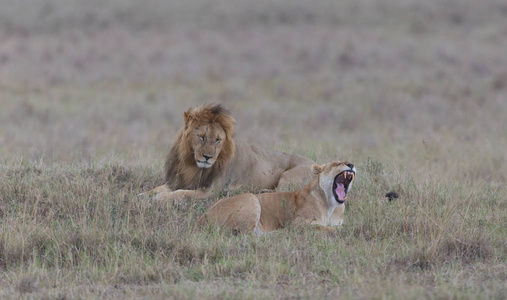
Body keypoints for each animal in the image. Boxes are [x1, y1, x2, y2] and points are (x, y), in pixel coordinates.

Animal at [145, 103, 316, 202]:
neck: (191, 164)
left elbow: (182, 193)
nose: (207, 157)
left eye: (218, 140)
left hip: (288, 177)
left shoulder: (210, 191)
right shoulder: (177, 181)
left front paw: (160, 197)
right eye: (202, 137)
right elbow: (158, 188)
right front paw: (146, 194)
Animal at [194, 162, 358, 234]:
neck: (331, 204)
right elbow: (324, 227)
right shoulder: (298, 224)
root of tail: (200, 220)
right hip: (251, 199)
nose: (351, 164)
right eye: (336, 163)